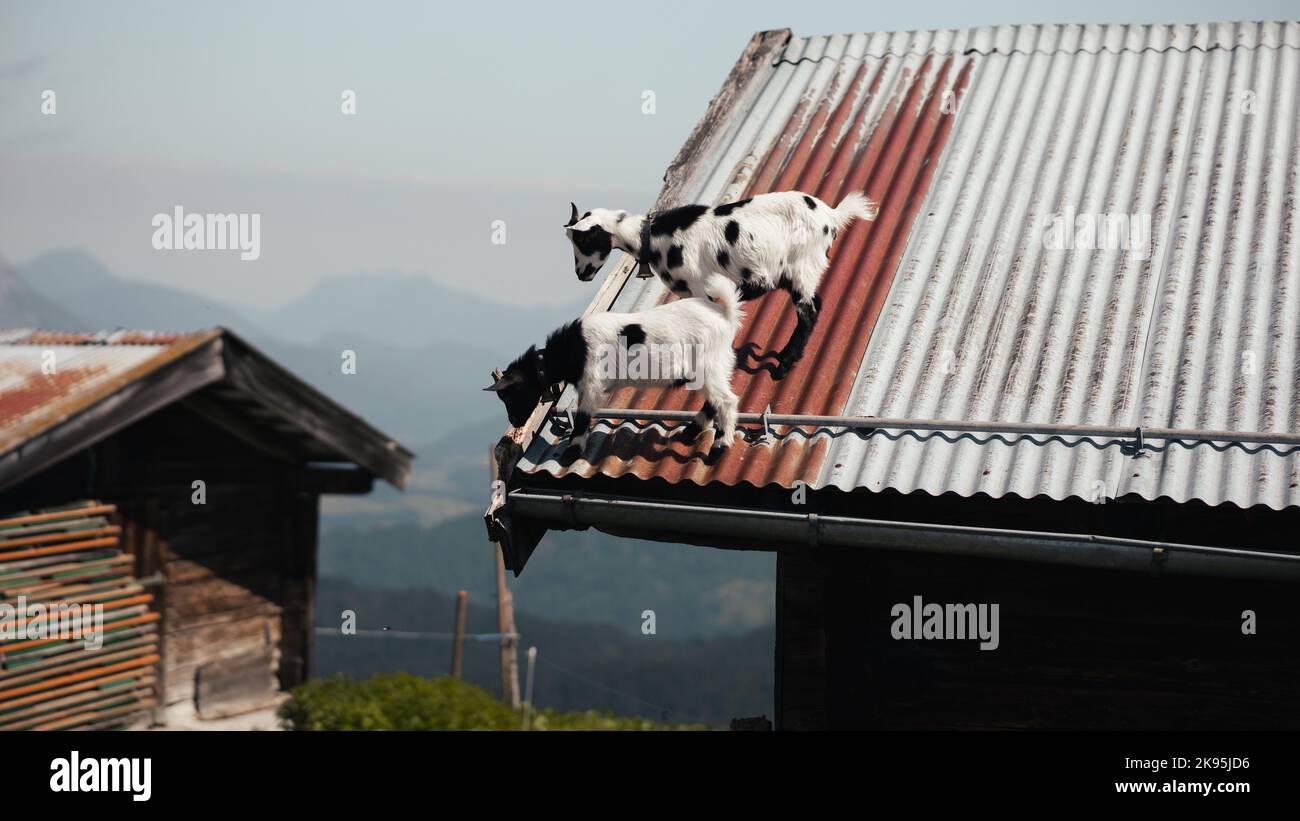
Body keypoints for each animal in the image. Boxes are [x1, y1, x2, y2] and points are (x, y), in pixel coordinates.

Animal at [483, 274, 743, 454]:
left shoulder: (591, 384)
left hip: (709, 365)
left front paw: (572, 451)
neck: (572, 349)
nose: (514, 421)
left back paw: (720, 445)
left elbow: (583, 416)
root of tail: (725, 315)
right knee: (713, 401)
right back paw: (690, 432)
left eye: (509, 396)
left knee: (727, 401)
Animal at [564, 190, 878, 376]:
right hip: (802, 272)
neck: (654, 237)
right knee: (816, 304)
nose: (580, 273)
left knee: (808, 313)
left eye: (585, 240)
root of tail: (832, 215)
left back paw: (784, 366)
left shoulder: (700, 288)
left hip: (802, 265)